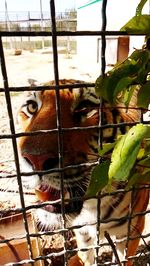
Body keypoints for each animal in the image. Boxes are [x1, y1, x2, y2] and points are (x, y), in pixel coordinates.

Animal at [17, 79, 149, 266]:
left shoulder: (131, 231)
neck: (92, 207)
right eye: (32, 107)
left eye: (85, 108)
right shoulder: (83, 233)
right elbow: (86, 256)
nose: (35, 158)